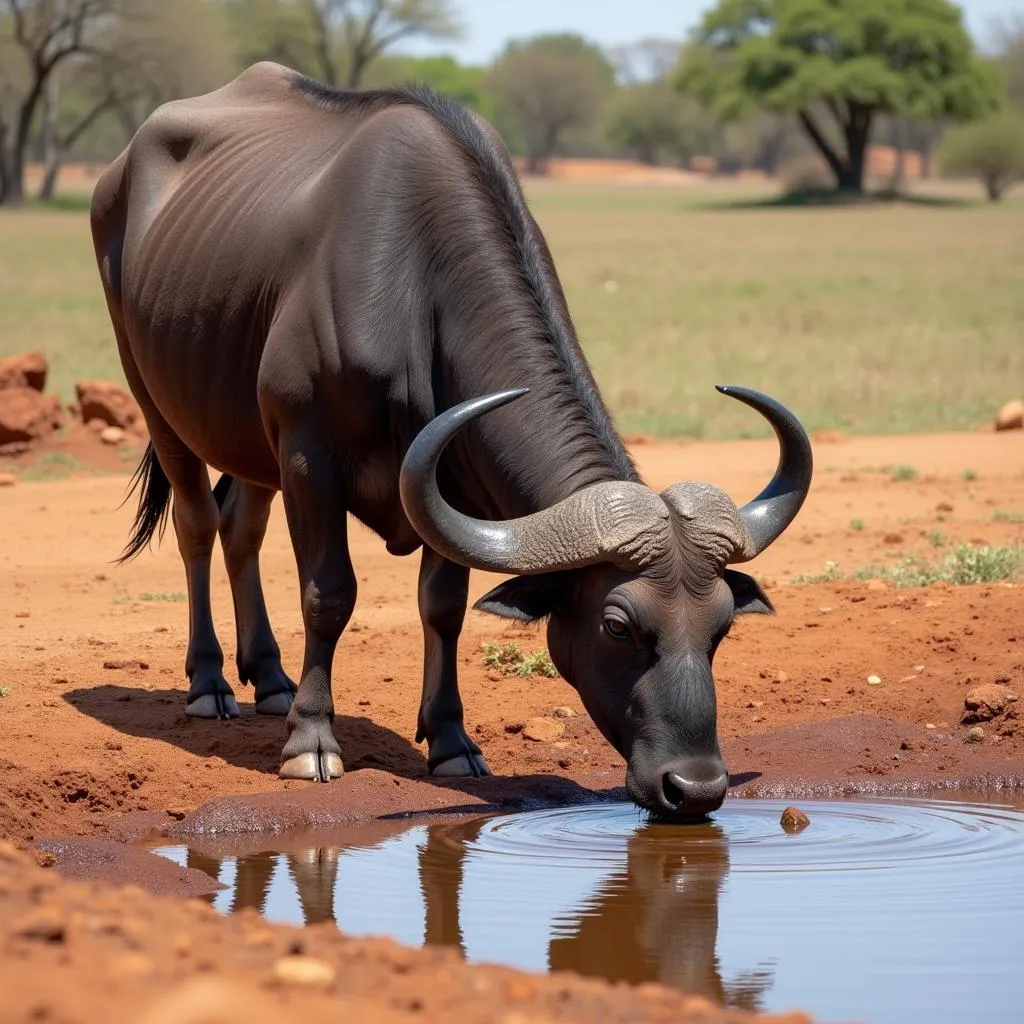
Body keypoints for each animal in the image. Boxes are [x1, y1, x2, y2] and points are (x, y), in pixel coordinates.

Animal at [90, 61, 806, 815]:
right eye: (617, 626)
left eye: (722, 626)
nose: (694, 786)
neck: (417, 283)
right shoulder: (310, 457)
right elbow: (328, 592)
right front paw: (311, 739)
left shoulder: (445, 482)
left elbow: (443, 608)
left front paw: (452, 741)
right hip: (157, 401)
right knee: (199, 524)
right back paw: (210, 683)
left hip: (253, 442)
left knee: (240, 529)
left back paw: (272, 678)